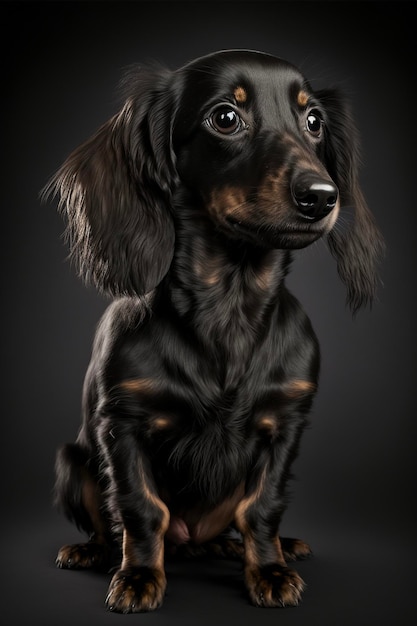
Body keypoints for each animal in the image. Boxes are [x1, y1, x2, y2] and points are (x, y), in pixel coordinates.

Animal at [45, 48, 384, 608]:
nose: (321, 196)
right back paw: (92, 551)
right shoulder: (123, 424)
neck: (231, 304)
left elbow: (261, 508)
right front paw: (138, 576)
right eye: (225, 117)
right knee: (111, 524)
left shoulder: (285, 422)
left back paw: (260, 547)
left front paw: (269, 569)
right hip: (72, 461)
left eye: (314, 121)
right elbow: (141, 509)